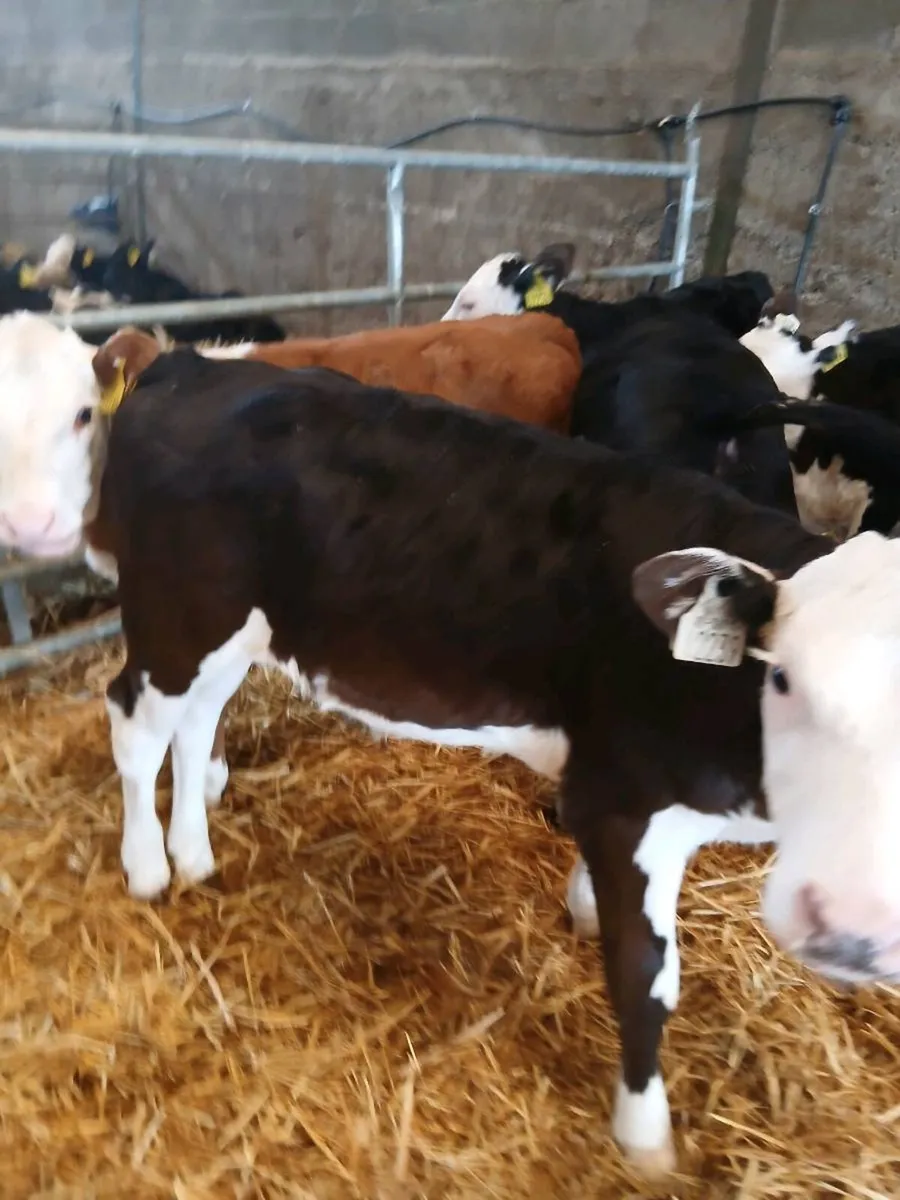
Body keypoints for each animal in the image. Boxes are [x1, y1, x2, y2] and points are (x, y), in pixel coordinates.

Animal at [3, 310, 900, 1181]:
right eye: (782, 680)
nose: (852, 932)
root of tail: (192, 364)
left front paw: (581, 909)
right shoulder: (624, 800)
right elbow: (645, 976)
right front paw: (645, 1136)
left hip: (233, 630)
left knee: (193, 726)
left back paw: (193, 851)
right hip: (176, 617)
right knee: (135, 723)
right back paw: (149, 867)